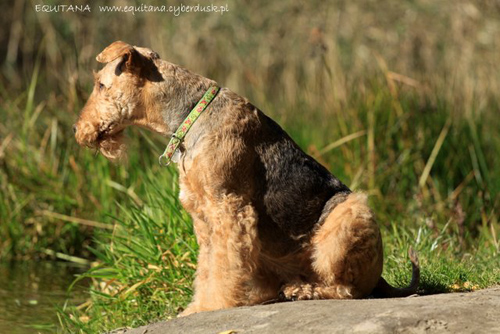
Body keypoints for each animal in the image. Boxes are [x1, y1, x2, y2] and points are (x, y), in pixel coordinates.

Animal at [73, 41, 418, 316]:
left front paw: (212, 306)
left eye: (101, 85)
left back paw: (303, 290)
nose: (78, 130)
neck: (190, 115)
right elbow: (209, 267)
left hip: (351, 213)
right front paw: (196, 307)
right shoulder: (203, 215)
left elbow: (223, 267)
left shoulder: (229, 208)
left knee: (346, 289)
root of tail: (383, 279)